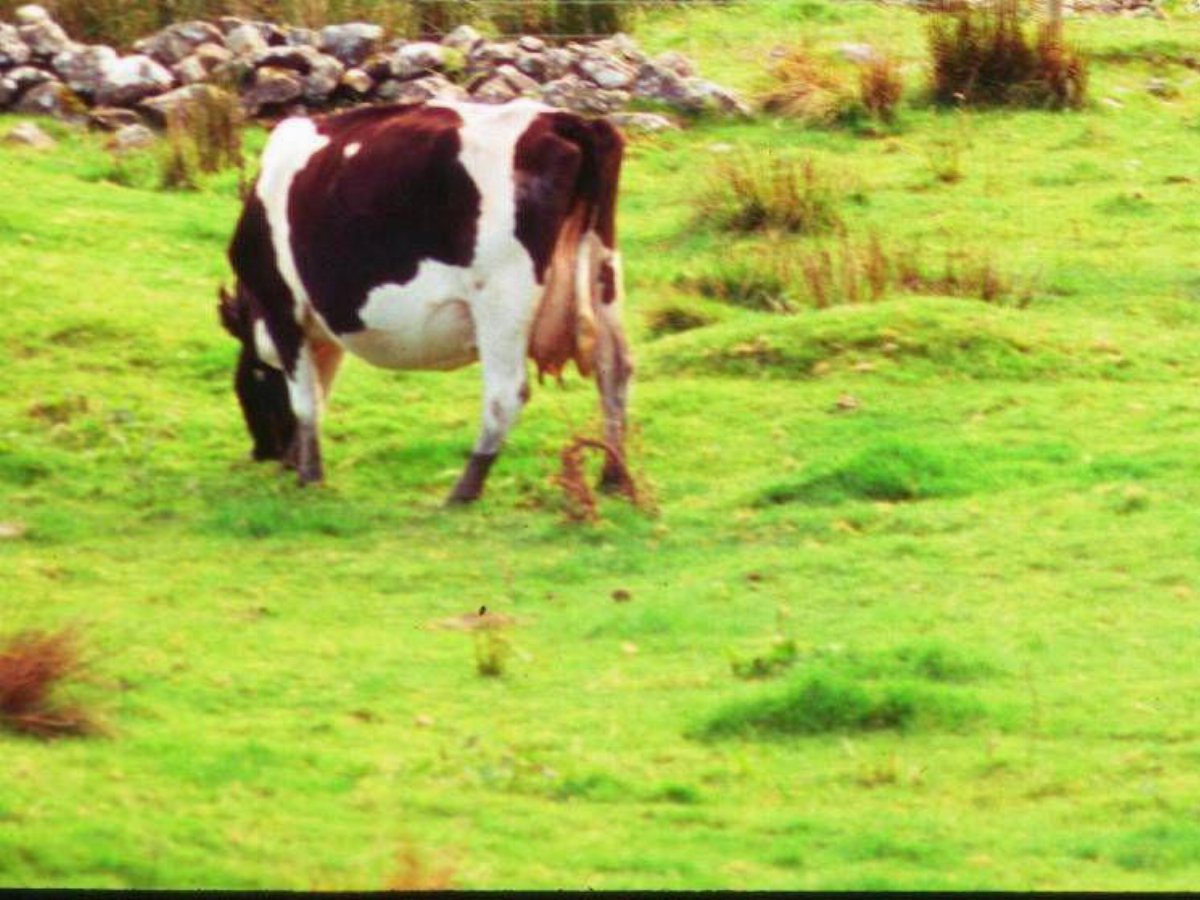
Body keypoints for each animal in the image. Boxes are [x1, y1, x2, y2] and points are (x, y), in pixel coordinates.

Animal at [218, 98, 633, 504]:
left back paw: (464, 490)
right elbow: (320, 393)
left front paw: (309, 476)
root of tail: (563, 120)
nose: (262, 452)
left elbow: (305, 399)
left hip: (502, 298)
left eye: (244, 383)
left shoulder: (282, 307)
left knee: (507, 393)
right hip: (603, 274)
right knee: (615, 369)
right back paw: (613, 475)